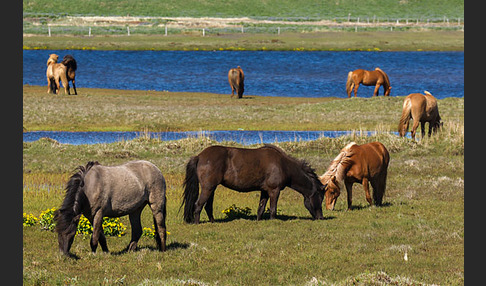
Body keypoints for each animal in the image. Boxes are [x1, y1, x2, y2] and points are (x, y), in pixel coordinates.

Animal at [180, 145, 324, 223]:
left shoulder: (265, 191)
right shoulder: (274, 190)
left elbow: (261, 208)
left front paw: (259, 221)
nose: (321, 218)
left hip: (212, 188)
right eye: (321, 197)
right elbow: (273, 209)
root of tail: (199, 156)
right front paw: (273, 221)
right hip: (208, 188)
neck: (283, 165)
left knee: (207, 206)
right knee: (198, 205)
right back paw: (197, 223)